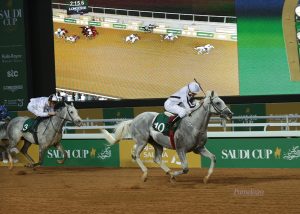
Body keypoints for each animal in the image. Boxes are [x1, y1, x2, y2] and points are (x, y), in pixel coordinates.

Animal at [102, 91, 233, 183]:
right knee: (135, 155)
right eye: (218, 102)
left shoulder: (199, 148)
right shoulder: (181, 149)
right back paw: (145, 174)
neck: (194, 125)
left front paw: (206, 178)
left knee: (157, 159)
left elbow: (213, 157)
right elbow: (185, 168)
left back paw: (168, 172)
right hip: (141, 141)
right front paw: (173, 175)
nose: (230, 113)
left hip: (157, 143)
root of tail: (133, 120)